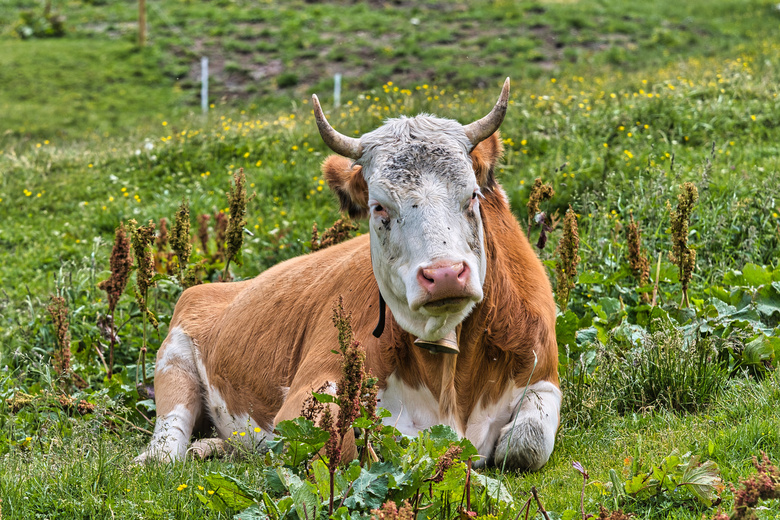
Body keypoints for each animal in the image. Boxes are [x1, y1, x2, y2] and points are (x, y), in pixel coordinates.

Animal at [136, 78, 560, 472]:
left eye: (472, 195)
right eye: (379, 207)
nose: (444, 275)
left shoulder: (544, 373)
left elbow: (526, 443)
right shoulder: (308, 397)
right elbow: (349, 446)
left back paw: (213, 447)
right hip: (173, 359)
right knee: (166, 443)